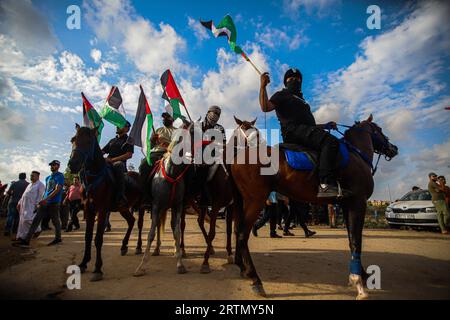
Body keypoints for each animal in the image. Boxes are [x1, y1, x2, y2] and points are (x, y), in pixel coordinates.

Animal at [67, 124, 142, 280]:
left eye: (89, 141)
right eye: (73, 139)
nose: (73, 164)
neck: (94, 177)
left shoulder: (101, 210)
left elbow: (98, 238)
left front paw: (97, 269)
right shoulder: (89, 209)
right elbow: (88, 236)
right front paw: (83, 263)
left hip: (142, 205)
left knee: (139, 224)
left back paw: (138, 247)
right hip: (123, 208)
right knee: (131, 221)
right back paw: (124, 246)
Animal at [230, 115, 400, 300]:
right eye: (379, 130)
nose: (394, 148)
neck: (356, 156)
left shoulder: (347, 205)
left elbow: (351, 240)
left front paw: (362, 273)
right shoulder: (358, 203)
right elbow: (356, 241)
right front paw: (359, 282)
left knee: (238, 231)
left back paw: (244, 269)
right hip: (255, 201)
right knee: (242, 234)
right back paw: (255, 279)